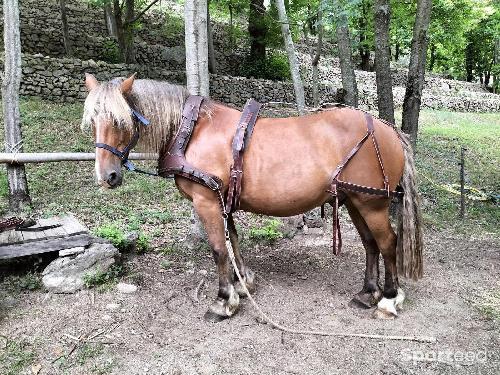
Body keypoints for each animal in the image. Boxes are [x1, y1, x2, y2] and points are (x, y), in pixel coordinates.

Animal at [82, 74, 422, 324]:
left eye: (121, 121)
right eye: (92, 122)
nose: (107, 176)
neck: (192, 130)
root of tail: (390, 130)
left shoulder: (206, 201)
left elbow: (219, 249)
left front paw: (223, 301)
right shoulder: (222, 199)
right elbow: (233, 240)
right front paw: (242, 283)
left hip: (371, 204)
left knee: (387, 243)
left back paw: (389, 298)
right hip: (354, 200)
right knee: (370, 244)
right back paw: (368, 293)